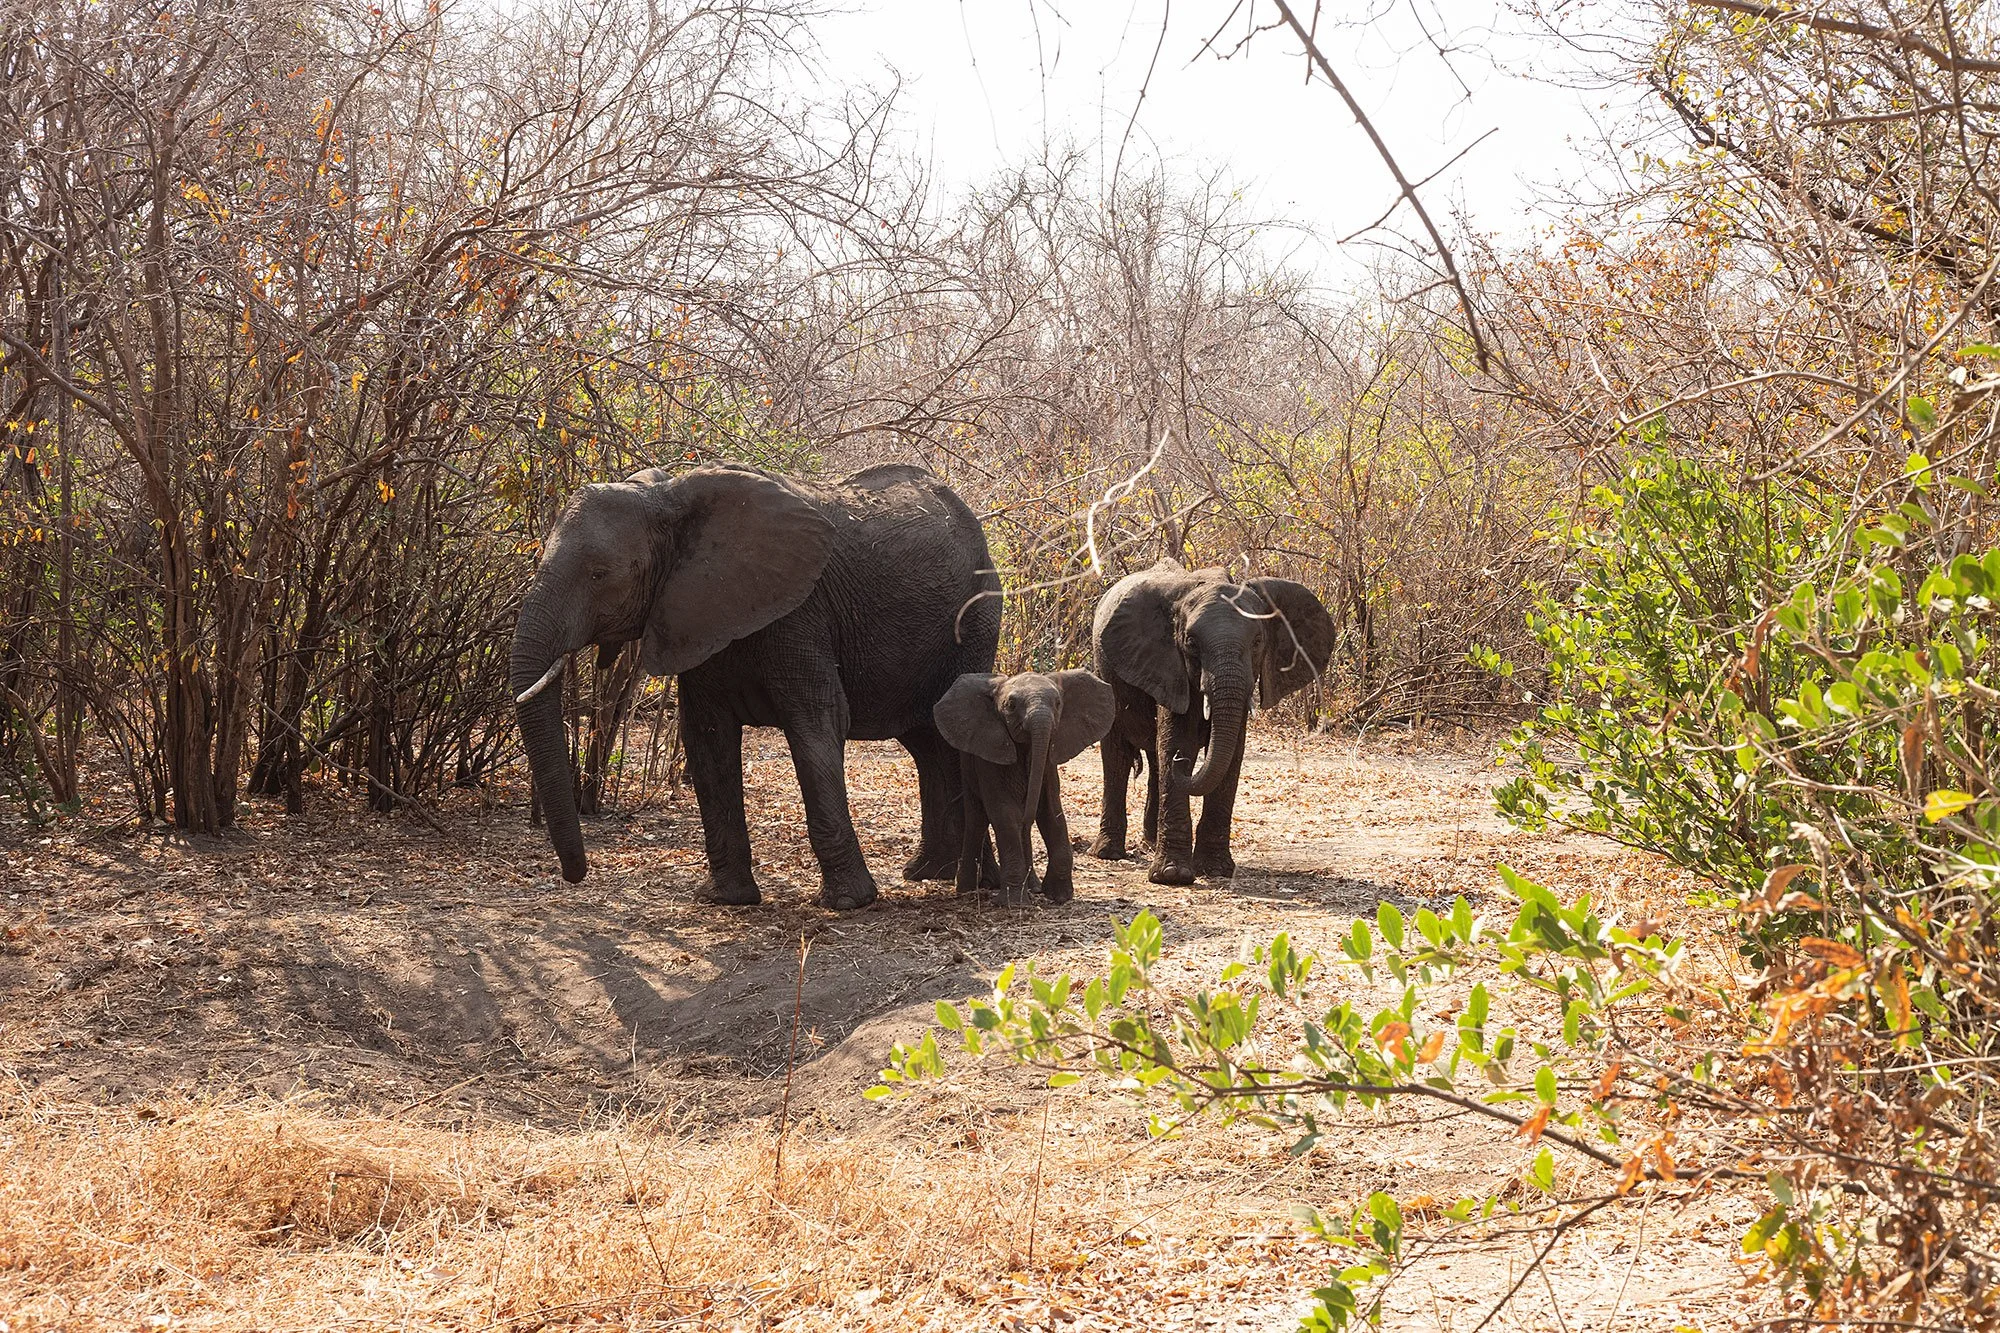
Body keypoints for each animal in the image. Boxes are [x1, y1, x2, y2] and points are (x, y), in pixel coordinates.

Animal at [509, 461, 1001, 910]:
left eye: (599, 574)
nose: (576, 874)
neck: (668, 499)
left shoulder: (801, 612)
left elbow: (817, 724)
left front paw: (848, 903)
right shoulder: (695, 614)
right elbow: (707, 739)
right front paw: (726, 899)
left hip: (975, 619)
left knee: (949, 738)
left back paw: (972, 882)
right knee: (927, 743)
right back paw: (929, 872)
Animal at [933, 670, 1115, 906]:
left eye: (1058, 703)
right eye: (1010, 705)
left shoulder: (1048, 762)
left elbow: (1050, 811)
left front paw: (1059, 896)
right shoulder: (990, 754)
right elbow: (1004, 813)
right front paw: (1012, 903)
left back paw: (1033, 887)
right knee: (977, 818)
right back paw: (966, 889)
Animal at [1088, 558, 1334, 885]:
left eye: (1258, 641)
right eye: (1191, 642)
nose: (1182, 764)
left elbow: (1232, 755)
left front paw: (1215, 870)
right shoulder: (1168, 666)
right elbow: (1176, 740)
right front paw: (1172, 876)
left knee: (1155, 759)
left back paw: (1150, 842)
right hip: (1104, 672)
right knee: (1119, 755)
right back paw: (1107, 853)